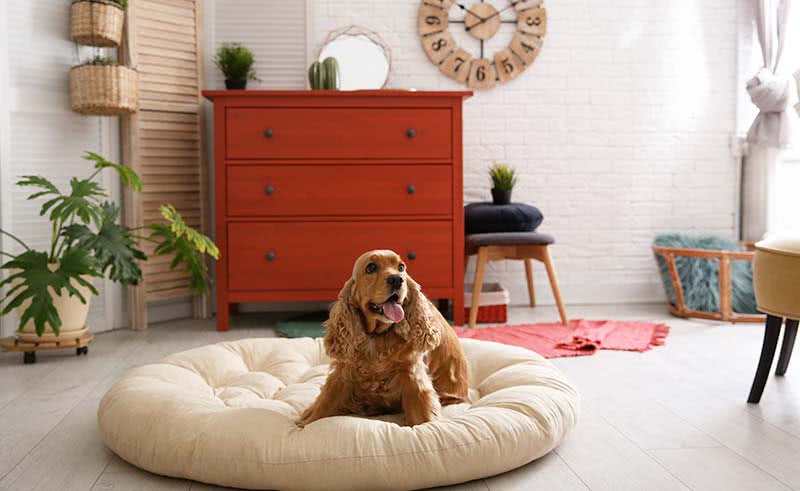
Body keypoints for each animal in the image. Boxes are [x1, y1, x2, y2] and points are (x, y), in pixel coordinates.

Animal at [300, 250, 468, 427]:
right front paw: (304, 423)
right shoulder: (344, 372)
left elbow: (422, 416)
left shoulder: (412, 376)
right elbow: (324, 403)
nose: (397, 279)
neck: (377, 336)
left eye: (401, 267)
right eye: (371, 267)